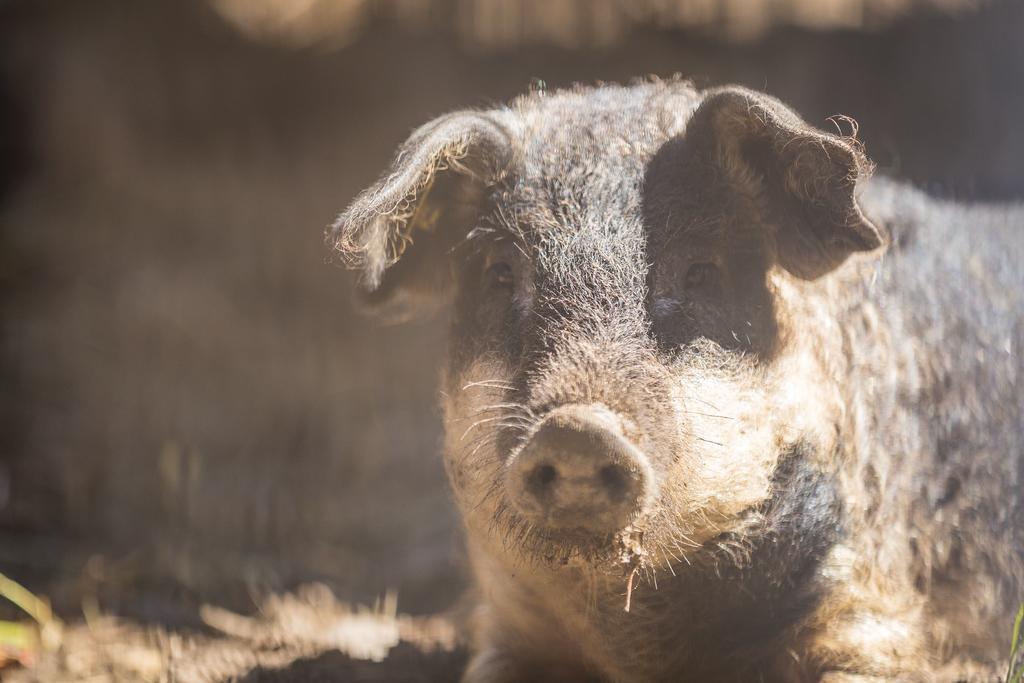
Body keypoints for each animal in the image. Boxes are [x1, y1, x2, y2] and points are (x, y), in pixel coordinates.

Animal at [329, 81, 1024, 683]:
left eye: (699, 273)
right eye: (501, 273)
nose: (577, 428)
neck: (643, 643)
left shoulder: (874, 613)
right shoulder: (508, 629)